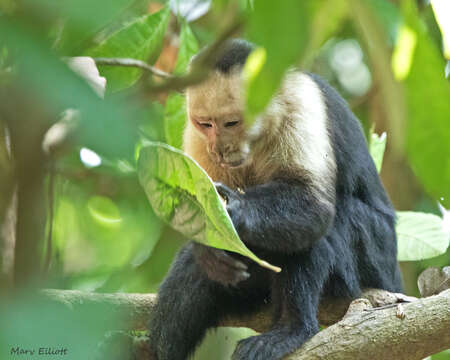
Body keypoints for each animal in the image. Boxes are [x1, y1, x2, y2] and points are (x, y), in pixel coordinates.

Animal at [149, 39, 404, 360]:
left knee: (325, 225)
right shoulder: (195, 136)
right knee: (196, 269)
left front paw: (236, 210)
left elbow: (312, 203)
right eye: (205, 124)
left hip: (376, 259)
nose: (218, 149)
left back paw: (291, 330)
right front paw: (207, 234)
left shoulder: (302, 106)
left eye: (231, 123)